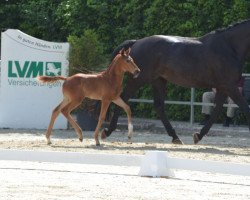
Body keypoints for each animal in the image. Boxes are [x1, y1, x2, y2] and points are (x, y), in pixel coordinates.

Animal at [101, 19, 250, 144]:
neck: (229, 47)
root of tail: (136, 42)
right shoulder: (229, 86)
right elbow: (244, 107)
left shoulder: (223, 87)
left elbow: (217, 110)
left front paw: (198, 136)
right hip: (138, 80)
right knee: (124, 98)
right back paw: (107, 131)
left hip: (158, 81)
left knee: (159, 106)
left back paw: (175, 137)